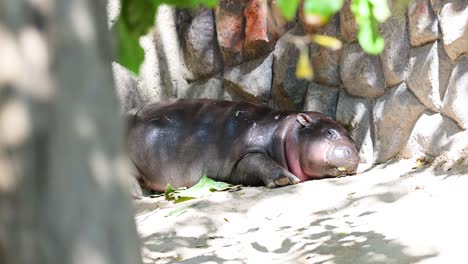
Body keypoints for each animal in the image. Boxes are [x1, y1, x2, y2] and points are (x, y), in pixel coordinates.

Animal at [125, 99, 358, 192]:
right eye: (329, 133)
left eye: (351, 135)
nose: (355, 154)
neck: (283, 132)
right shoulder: (244, 154)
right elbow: (258, 160)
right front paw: (286, 180)